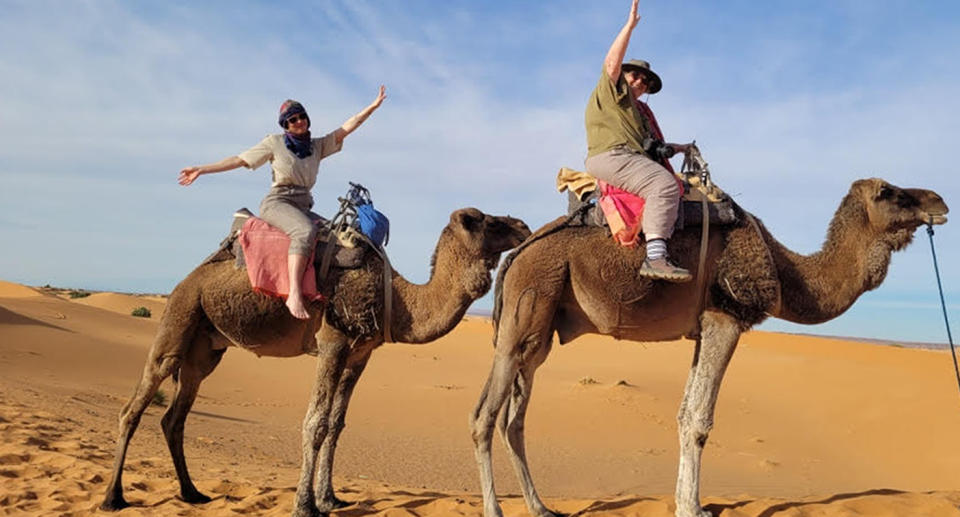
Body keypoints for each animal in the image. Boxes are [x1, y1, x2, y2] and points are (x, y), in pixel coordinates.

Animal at [101, 207, 532, 516]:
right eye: (486, 220)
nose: (524, 225)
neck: (398, 300)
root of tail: (186, 280)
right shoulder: (332, 343)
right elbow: (315, 422)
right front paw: (305, 505)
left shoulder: (360, 354)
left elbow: (337, 424)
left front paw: (330, 498)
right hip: (179, 319)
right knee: (134, 406)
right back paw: (113, 498)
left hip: (205, 351)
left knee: (175, 416)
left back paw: (193, 494)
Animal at [468, 178, 948, 516]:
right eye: (890, 192)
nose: (940, 203)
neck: (783, 267)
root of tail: (516, 255)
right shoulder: (725, 317)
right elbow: (699, 420)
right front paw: (692, 509)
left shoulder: (703, 328)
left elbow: (684, 413)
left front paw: (688, 502)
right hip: (525, 310)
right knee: (484, 415)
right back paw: (496, 510)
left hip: (540, 332)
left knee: (514, 419)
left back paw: (540, 507)